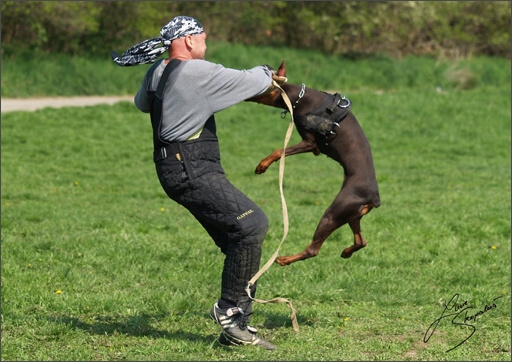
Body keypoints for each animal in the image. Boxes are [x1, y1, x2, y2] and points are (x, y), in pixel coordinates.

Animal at [248, 61, 380, 266]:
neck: (300, 98)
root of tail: (373, 198)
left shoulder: (310, 144)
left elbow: (279, 151)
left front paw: (263, 165)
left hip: (334, 212)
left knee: (313, 249)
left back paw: (284, 259)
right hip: (352, 215)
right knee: (361, 241)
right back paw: (346, 252)